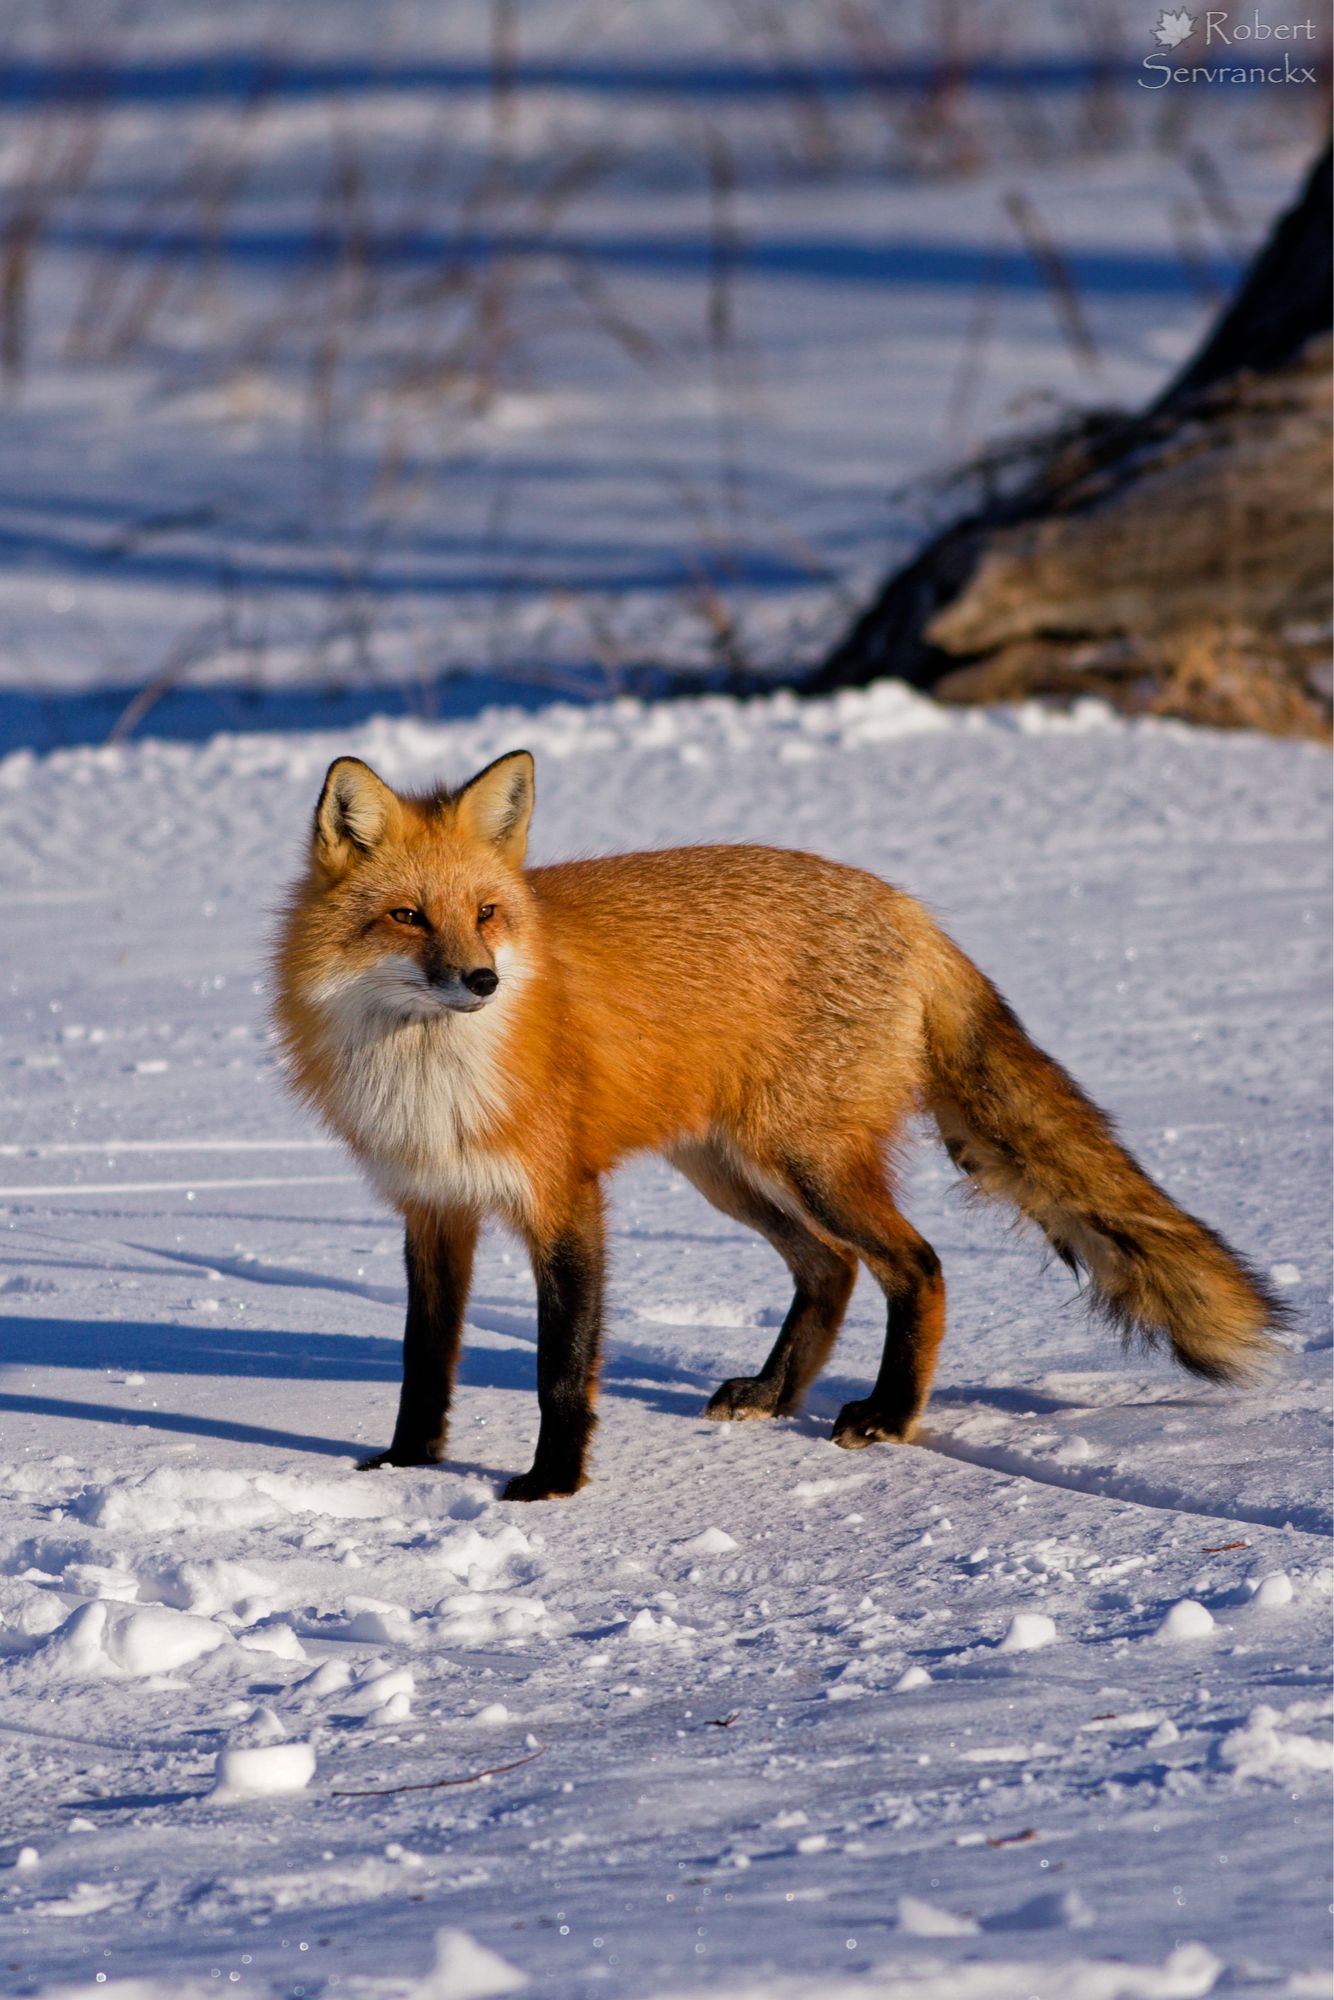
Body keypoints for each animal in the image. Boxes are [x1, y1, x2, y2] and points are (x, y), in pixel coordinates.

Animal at [272, 748, 1283, 1501]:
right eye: (407, 915)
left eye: (486, 913)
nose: (480, 980)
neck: (428, 1073)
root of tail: (907, 906)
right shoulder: (432, 1206)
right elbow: (423, 1359)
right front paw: (407, 1466)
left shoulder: (564, 1199)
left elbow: (561, 1366)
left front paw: (552, 1485)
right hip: (731, 1173)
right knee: (829, 1268)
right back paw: (774, 1393)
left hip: (807, 1163)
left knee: (916, 1265)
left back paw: (888, 1414)